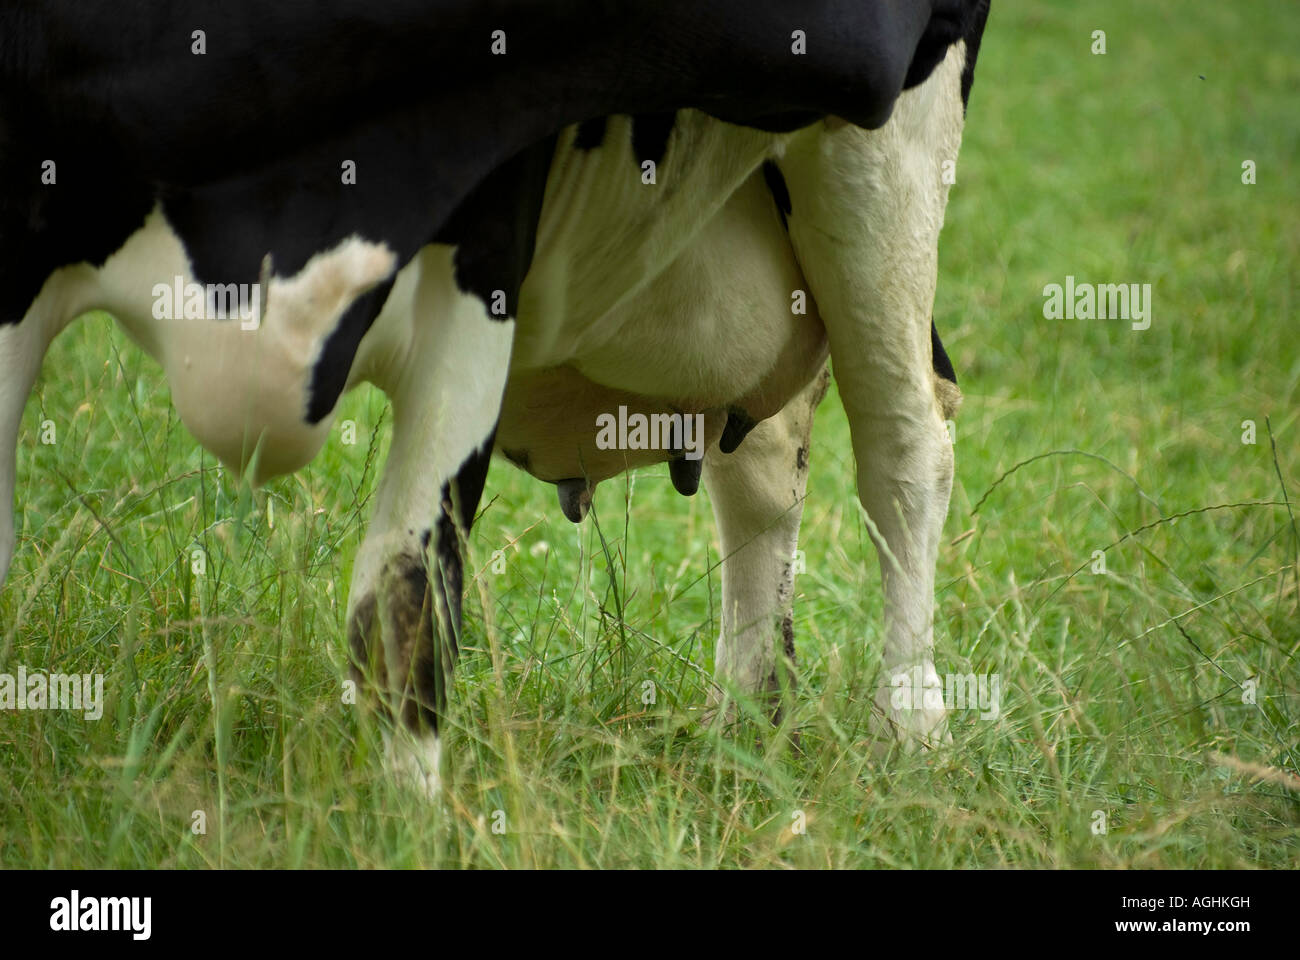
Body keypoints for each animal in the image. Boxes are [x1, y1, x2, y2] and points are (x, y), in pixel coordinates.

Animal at [0, 1, 990, 793]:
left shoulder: (485, 232)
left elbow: (402, 611)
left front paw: (404, 826)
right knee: (764, 471)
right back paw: (740, 734)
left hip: (887, 162)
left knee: (905, 450)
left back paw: (908, 733)